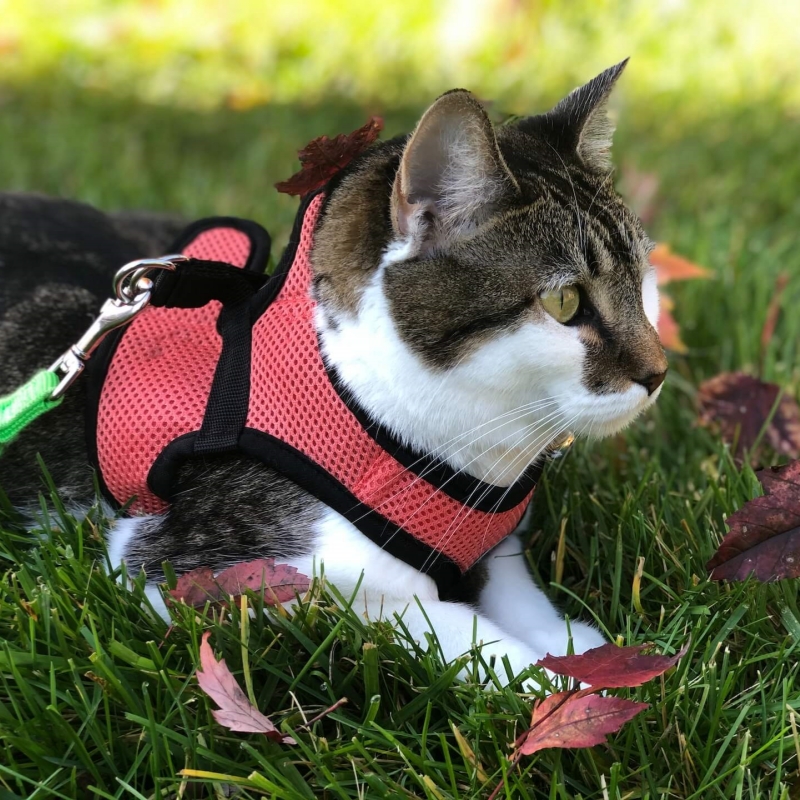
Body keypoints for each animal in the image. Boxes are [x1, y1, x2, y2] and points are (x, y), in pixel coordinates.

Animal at [0, 62, 664, 684]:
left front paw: (591, 655)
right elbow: (441, 624)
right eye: (565, 303)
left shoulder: (499, 550)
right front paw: (569, 687)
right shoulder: (192, 564)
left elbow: (524, 604)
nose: (658, 372)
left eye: (642, 280)